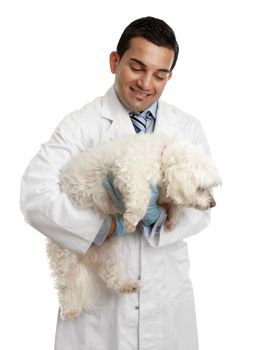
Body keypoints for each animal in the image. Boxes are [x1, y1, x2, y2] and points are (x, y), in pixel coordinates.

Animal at [46, 133, 222, 318]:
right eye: (201, 188)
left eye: (209, 188)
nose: (213, 204)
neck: (161, 156)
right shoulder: (128, 171)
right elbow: (140, 195)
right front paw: (132, 219)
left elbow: (171, 204)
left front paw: (171, 219)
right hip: (64, 250)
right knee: (66, 282)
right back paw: (70, 308)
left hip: (109, 251)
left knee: (111, 272)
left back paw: (125, 284)